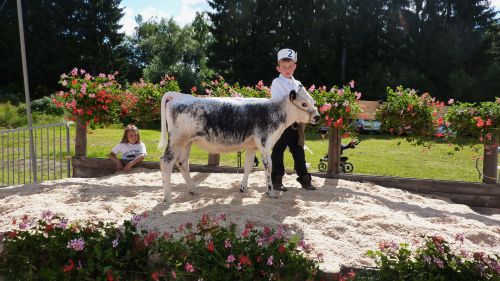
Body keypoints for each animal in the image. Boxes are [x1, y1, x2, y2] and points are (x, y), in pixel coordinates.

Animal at [157, 85, 320, 201]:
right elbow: (268, 167)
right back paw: (168, 197)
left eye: (313, 101)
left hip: (187, 142)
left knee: (182, 162)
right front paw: (271, 192)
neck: (274, 111)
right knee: (166, 162)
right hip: (176, 140)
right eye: (304, 104)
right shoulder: (264, 143)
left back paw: (193, 189)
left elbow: (248, 167)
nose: (317, 117)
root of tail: (178, 95)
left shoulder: (252, 146)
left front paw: (243, 188)